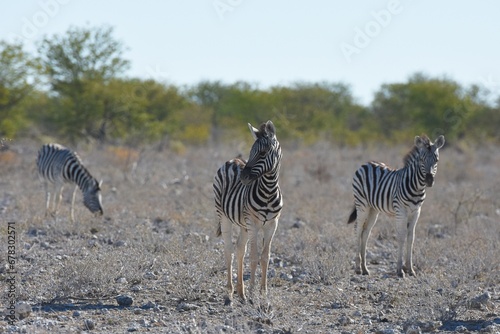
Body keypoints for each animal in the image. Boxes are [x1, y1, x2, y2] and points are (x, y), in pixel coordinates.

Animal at [214, 120, 284, 306]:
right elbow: (253, 257)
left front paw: (263, 294)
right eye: (251, 151)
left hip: (243, 224)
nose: (243, 177)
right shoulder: (253, 224)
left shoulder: (272, 225)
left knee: (239, 249)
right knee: (229, 250)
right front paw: (253, 294)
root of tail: (233, 159)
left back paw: (241, 292)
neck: (268, 192)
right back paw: (229, 293)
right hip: (224, 216)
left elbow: (265, 257)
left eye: (262, 152)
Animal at [348, 134, 446, 278]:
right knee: (358, 229)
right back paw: (357, 268)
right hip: (362, 205)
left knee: (366, 232)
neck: (417, 188)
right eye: (421, 160)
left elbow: (411, 237)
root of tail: (367, 163)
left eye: (436, 160)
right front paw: (400, 270)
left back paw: (365, 268)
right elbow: (401, 237)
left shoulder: (416, 212)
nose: (429, 180)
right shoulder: (401, 212)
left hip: (373, 209)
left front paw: (410, 269)